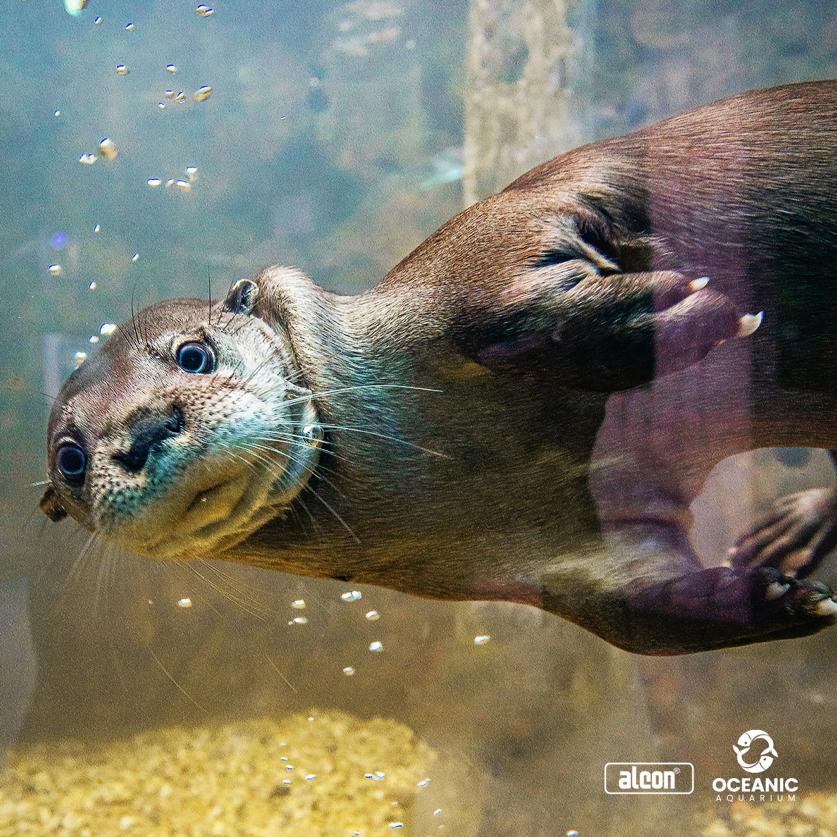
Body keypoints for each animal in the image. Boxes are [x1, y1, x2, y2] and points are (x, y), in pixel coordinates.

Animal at [40, 81, 837, 654]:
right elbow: (644, 618)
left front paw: (694, 314)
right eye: (71, 460)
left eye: (193, 354)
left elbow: (518, 309)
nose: (145, 429)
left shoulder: (489, 241)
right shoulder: (584, 556)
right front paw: (779, 596)